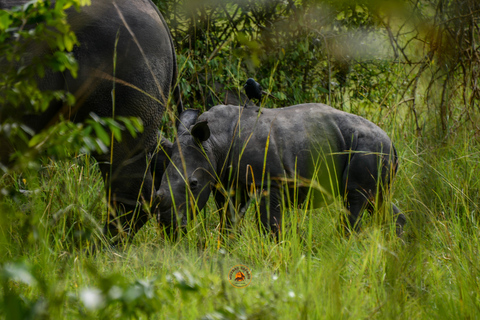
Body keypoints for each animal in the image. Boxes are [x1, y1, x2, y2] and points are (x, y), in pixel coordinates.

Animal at [157, 104, 404, 236]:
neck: (213, 143)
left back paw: (342, 244)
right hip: (373, 150)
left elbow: (268, 223)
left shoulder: (271, 180)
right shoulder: (226, 181)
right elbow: (228, 218)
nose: (168, 227)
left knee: (355, 198)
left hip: (370, 147)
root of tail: (393, 144)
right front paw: (227, 244)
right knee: (377, 199)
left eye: (193, 184)